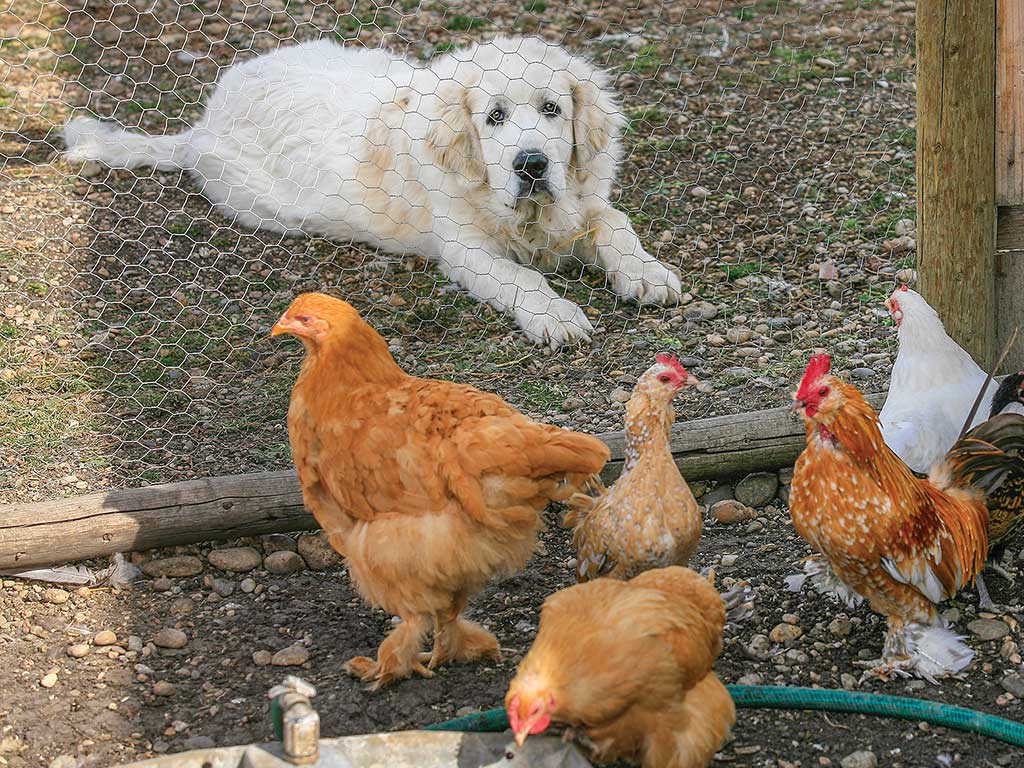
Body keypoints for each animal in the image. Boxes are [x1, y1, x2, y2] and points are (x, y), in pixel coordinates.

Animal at [68, 36, 684, 348]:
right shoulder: (466, 249)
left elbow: (616, 223)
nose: (531, 164)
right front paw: (555, 315)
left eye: (553, 109)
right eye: (494, 117)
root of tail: (202, 125)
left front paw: (647, 273)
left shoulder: (583, 200)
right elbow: (522, 277)